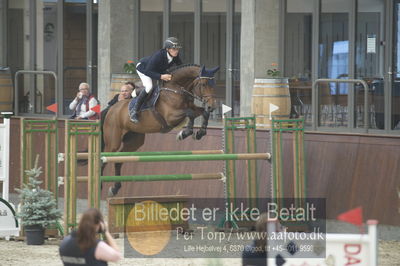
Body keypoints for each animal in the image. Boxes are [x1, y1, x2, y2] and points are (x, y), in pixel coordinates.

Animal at [101, 64, 219, 195]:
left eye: (214, 84)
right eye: (203, 84)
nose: (212, 106)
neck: (177, 88)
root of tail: (111, 109)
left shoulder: (192, 109)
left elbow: (203, 113)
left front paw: (199, 133)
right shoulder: (170, 117)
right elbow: (190, 113)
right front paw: (183, 133)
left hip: (134, 141)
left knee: (118, 160)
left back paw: (115, 188)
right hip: (113, 142)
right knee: (104, 159)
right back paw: (99, 185)